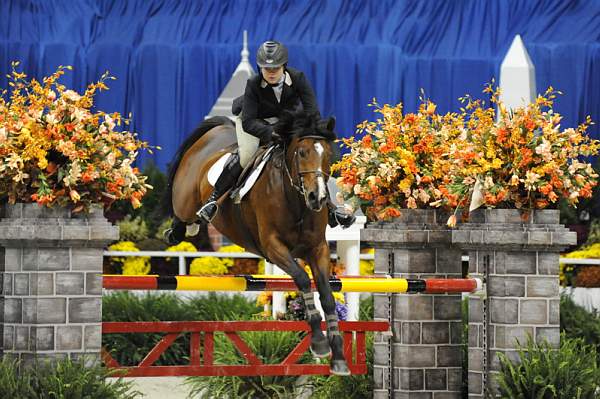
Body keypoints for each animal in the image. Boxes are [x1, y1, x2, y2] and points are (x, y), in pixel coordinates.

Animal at [164, 111, 352, 376]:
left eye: (328, 153)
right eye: (302, 152)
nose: (318, 198)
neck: (294, 198)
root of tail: (218, 130)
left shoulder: (318, 249)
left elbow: (326, 294)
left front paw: (338, 357)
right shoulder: (273, 248)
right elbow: (303, 280)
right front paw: (318, 342)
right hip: (185, 200)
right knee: (184, 215)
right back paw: (180, 228)